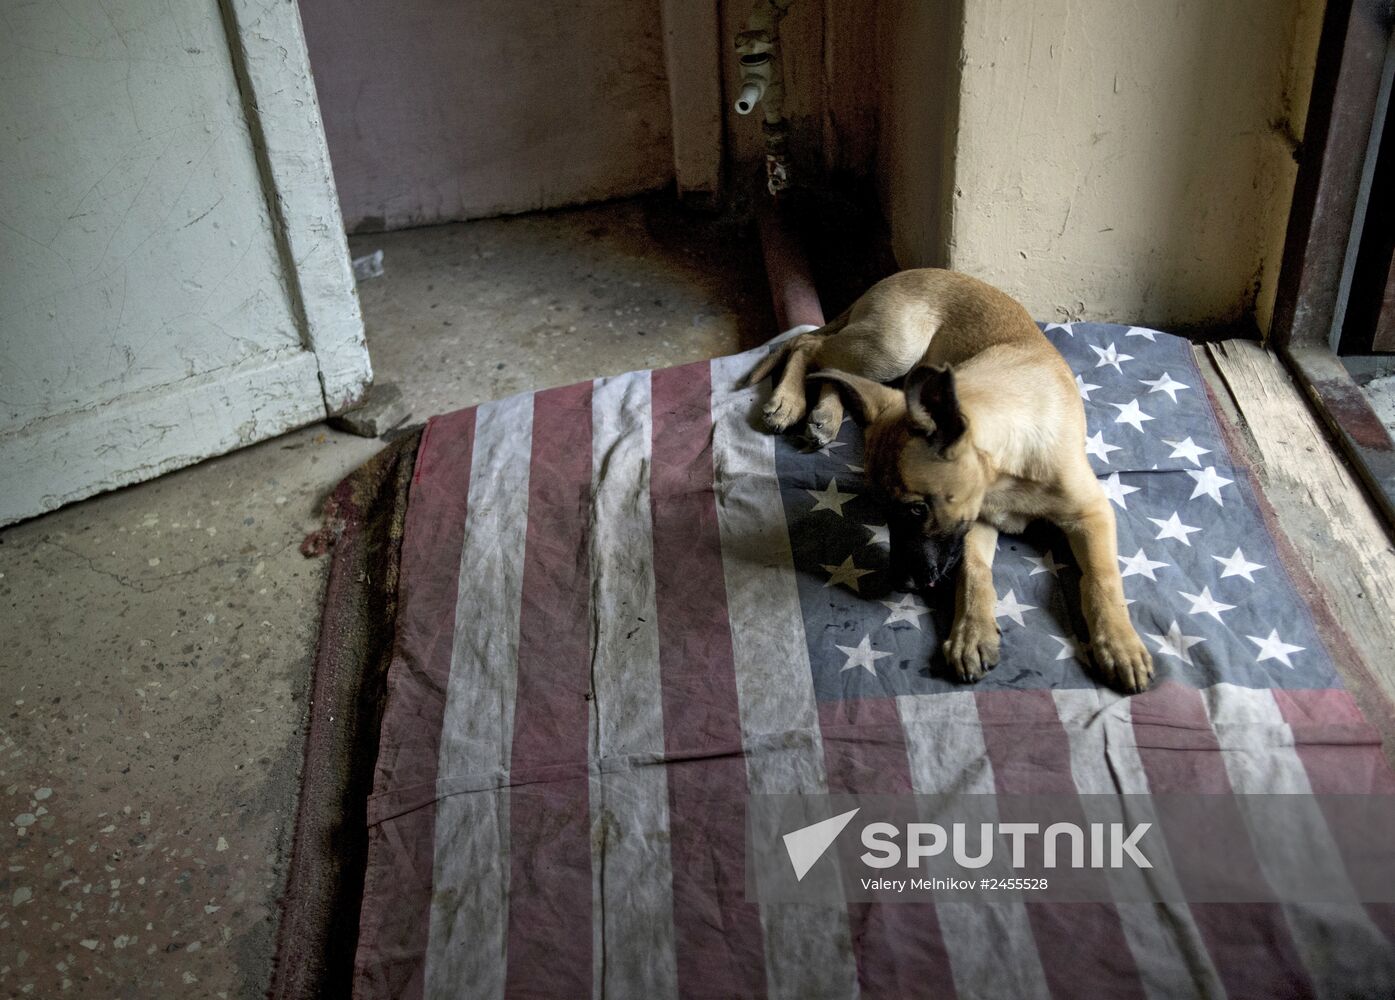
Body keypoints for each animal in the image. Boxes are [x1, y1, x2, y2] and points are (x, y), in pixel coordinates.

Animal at [753, 273, 1155, 694]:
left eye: (917, 509)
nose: (902, 584)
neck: (1006, 467)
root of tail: (897, 276)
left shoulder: (1090, 514)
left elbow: (1101, 578)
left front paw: (1119, 643)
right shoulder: (973, 522)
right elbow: (973, 573)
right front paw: (972, 633)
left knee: (829, 366)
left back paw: (823, 413)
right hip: (893, 348)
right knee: (809, 346)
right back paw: (790, 402)